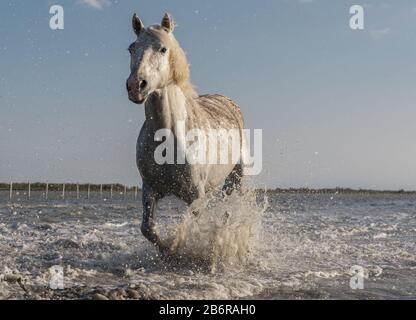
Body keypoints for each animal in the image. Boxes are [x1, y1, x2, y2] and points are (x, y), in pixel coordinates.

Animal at [127, 13, 247, 252]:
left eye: (163, 49)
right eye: (131, 48)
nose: (136, 85)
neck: (169, 139)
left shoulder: (196, 196)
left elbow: (185, 228)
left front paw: (176, 248)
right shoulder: (150, 189)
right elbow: (148, 229)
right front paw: (165, 251)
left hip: (235, 179)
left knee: (227, 209)